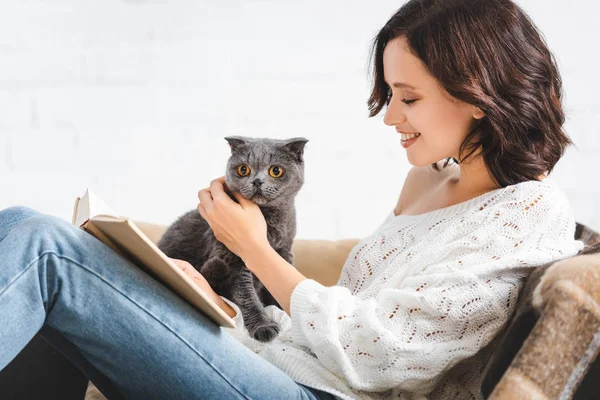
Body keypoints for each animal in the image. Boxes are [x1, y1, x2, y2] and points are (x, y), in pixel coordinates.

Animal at [158, 136, 310, 342]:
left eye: (276, 170)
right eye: (243, 169)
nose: (257, 181)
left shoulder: (284, 250)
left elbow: (275, 291)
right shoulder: (231, 257)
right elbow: (246, 295)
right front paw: (263, 327)